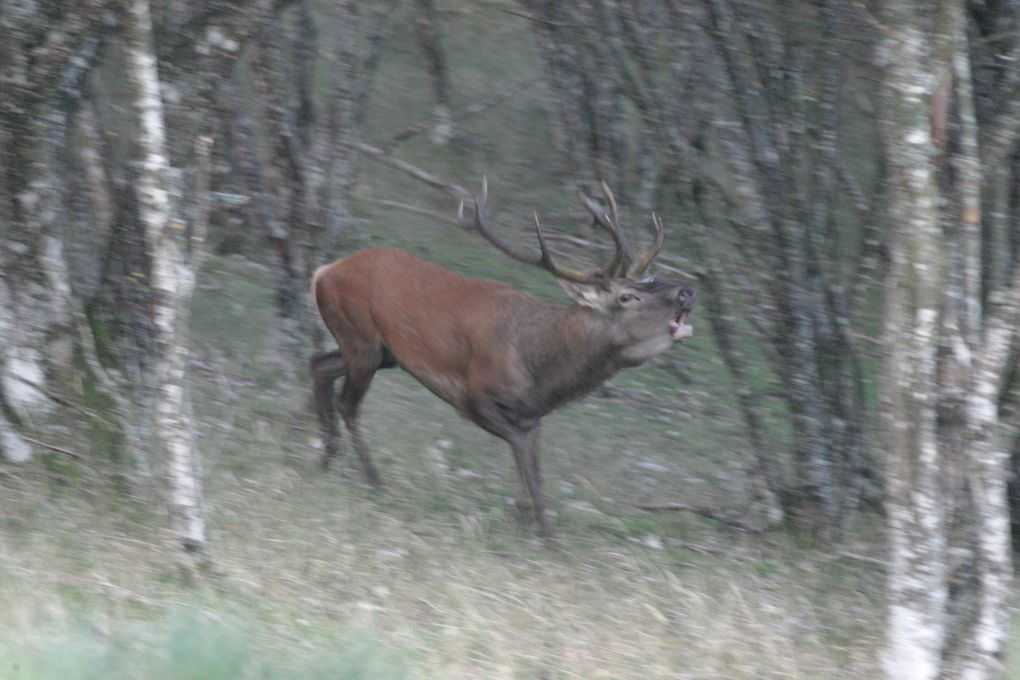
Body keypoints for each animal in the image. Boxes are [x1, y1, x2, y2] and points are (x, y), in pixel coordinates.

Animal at [310, 180, 693, 542]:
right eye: (627, 296)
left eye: (653, 281)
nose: (686, 292)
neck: (540, 373)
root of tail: (323, 272)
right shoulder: (473, 396)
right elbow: (524, 455)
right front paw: (547, 536)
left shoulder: (532, 415)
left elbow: (533, 465)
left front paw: (524, 521)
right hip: (362, 338)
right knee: (347, 403)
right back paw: (373, 480)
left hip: (379, 352)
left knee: (318, 365)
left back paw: (326, 461)